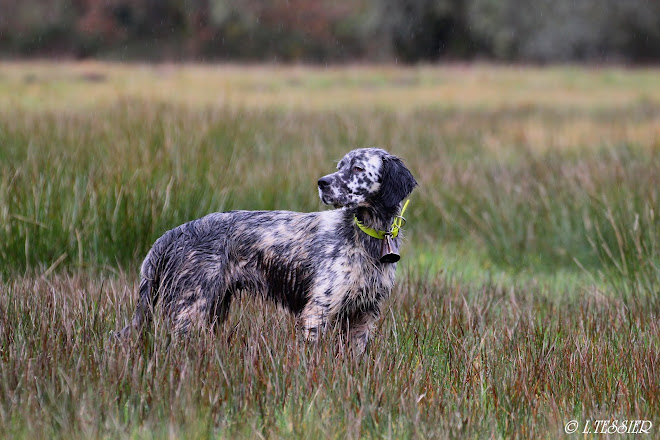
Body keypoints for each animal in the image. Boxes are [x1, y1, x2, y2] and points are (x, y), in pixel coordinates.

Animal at [118, 150, 418, 352]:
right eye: (340, 166)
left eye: (357, 168)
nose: (322, 182)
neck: (366, 236)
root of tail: (174, 232)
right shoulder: (317, 312)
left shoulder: (364, 314)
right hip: (190, 309)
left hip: (213, 308)